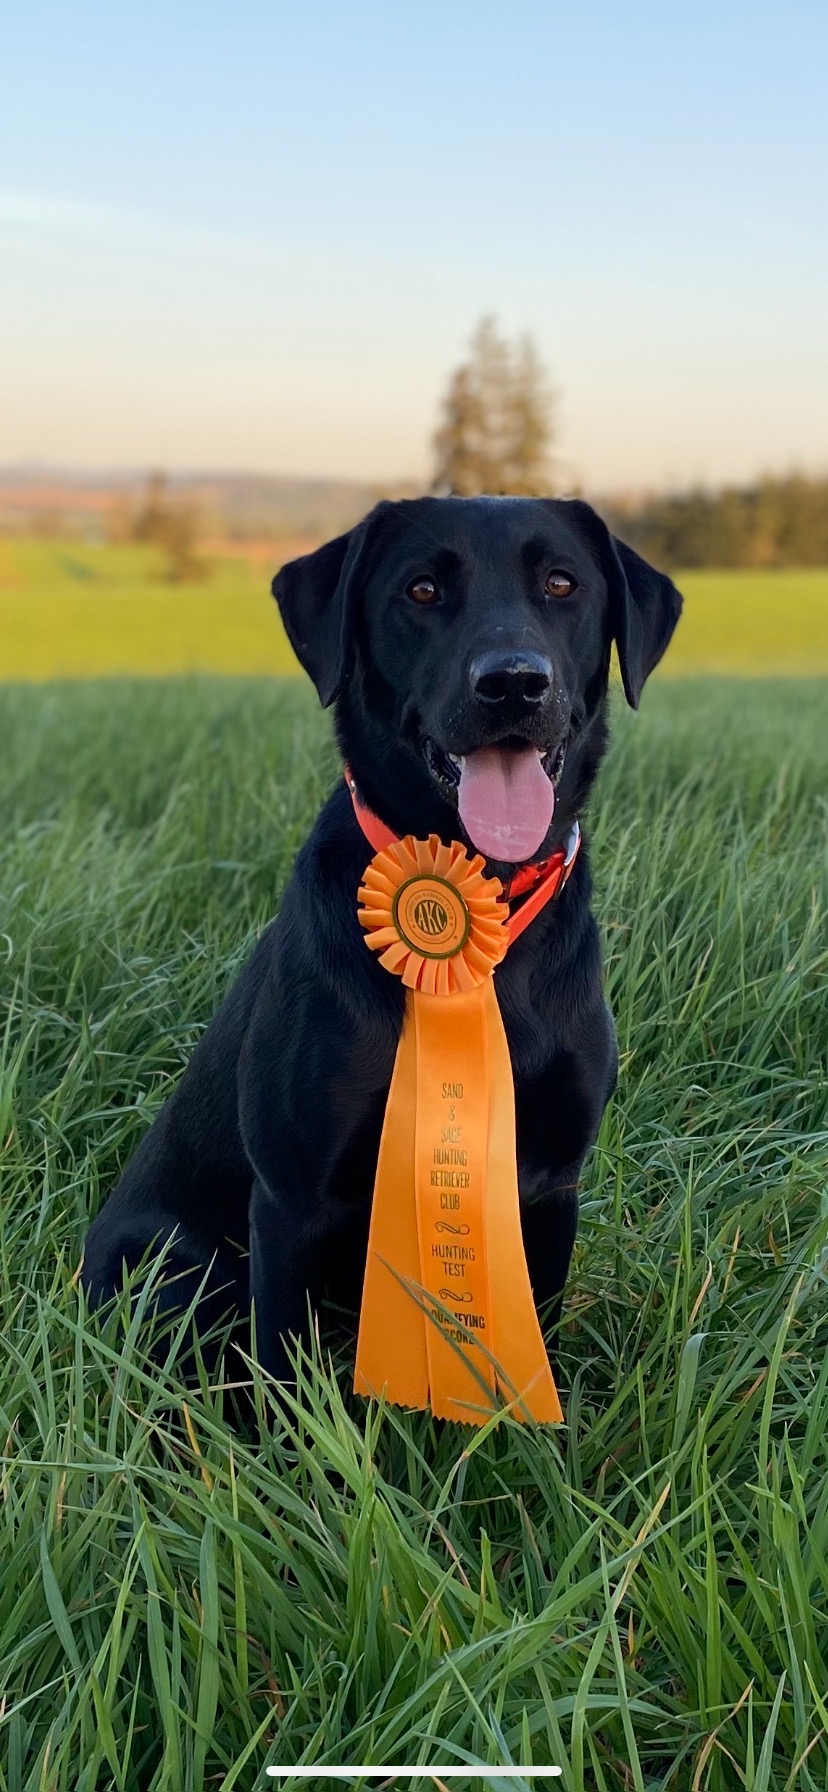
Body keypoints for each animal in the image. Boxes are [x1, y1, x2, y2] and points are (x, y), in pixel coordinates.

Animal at [82, 498, 677, 1390]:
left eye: (562, 584)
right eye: (421, 589)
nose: (513, 681)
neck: (487, 895)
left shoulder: (548, 1188)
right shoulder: (290, 1202)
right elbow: (282, 1379)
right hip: (176, 1269)